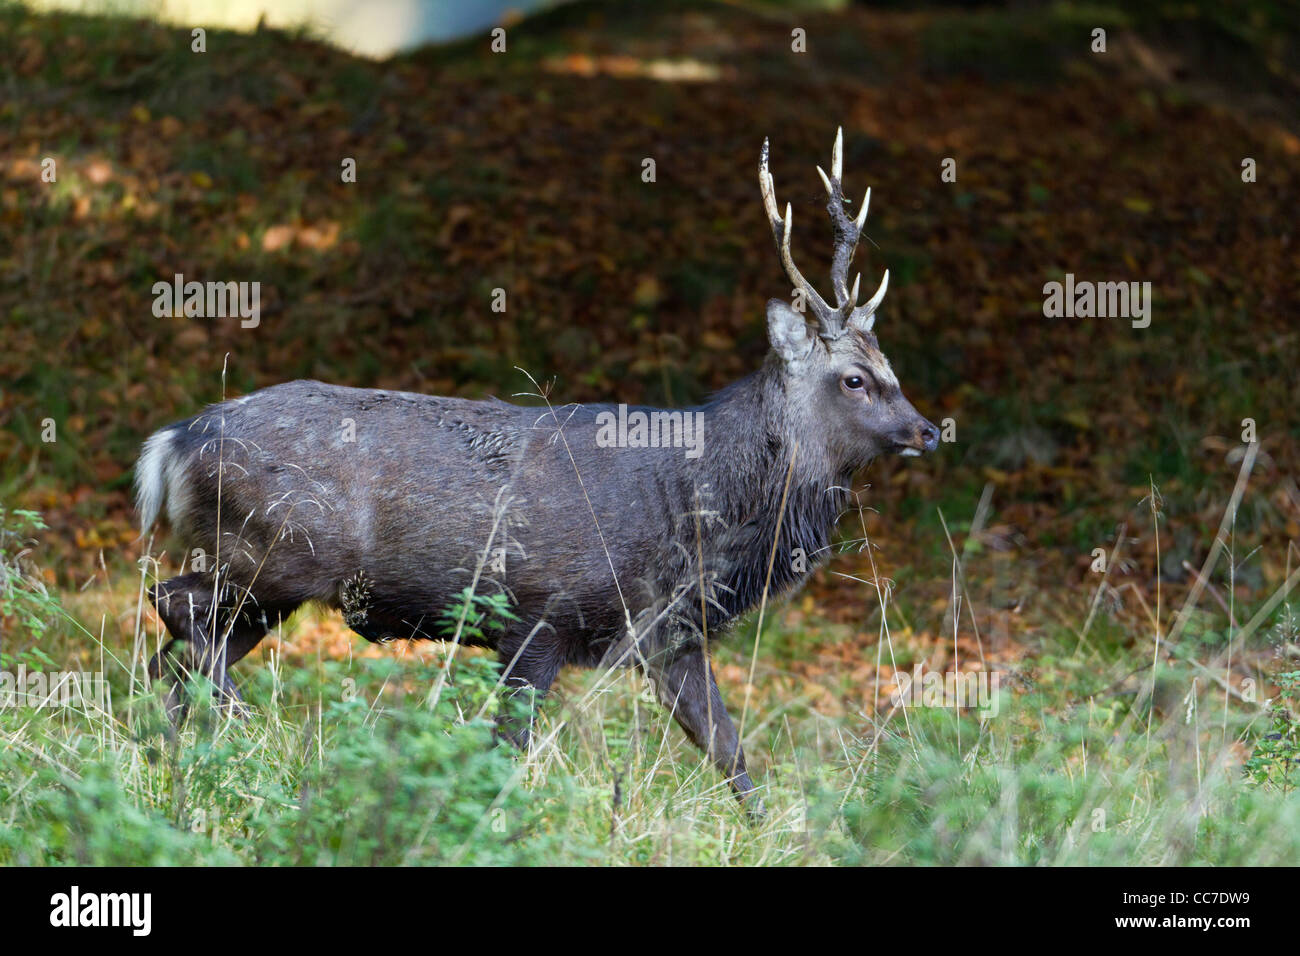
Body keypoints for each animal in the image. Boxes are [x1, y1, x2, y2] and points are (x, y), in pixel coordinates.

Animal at [135, 128, 938, 809]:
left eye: (893, 369)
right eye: (856, 379)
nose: (928, 431)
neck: (691, 508)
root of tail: (174, 440)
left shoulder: (669, 633)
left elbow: (729, 751)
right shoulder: (536, 612)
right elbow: (506, 750)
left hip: (263, 578)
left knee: (178, 656)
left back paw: (175, 767)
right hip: (275, 552)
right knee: (174, 612)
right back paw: (251, 735)